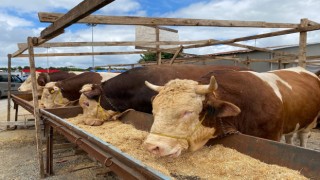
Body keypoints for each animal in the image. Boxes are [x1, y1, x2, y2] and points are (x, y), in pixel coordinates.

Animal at [144, 67, 320, 157]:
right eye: (154, 111)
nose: (152, 147)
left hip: (309, 124)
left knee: (302, 137)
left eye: (187, 112)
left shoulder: (272, 136)